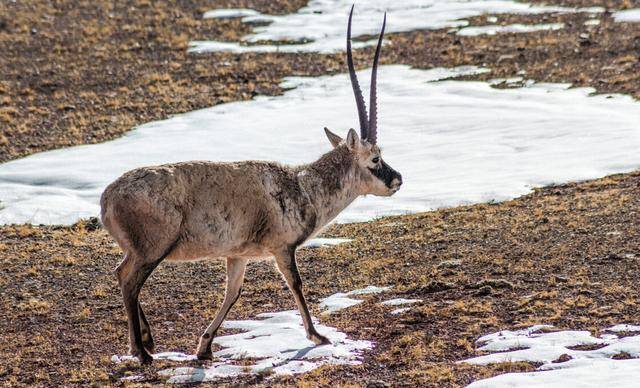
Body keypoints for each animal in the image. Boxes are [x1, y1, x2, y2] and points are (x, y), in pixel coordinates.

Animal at [100, 6, 402, 364]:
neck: (302, 186)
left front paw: (204, 347)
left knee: (122, 272)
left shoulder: (237, 255)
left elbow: (233, 292)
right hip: (152, 250)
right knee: (129, 280)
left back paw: (147, 341)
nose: (397, 179)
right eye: (375, 158)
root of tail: (108, 198)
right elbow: (296, 283)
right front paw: (317, 335)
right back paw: (142, 352)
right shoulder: (282, 249)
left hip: (140, 251)